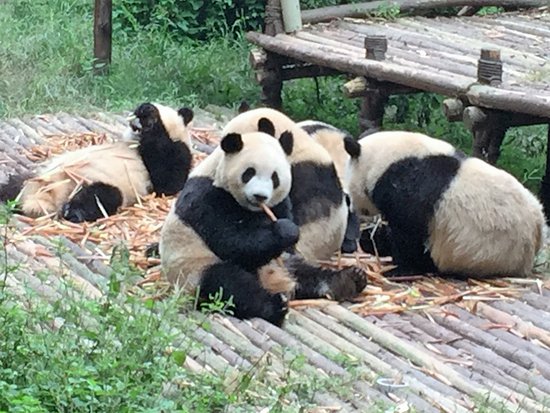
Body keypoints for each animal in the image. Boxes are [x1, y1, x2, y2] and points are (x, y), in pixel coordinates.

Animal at [17, 102, 194, 222]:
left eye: (156, 111)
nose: (142, 109)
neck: (134, 143)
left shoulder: (175, 152)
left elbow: (167, 182)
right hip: (36, 177)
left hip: (94, 183)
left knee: (101, 196)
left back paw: (73, 211)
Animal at [160, 129, 366, 326]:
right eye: (249, 172)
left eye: (275, 177)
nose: (260, 196)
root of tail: (274, 281)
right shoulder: (206, 198)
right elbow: (233, 242)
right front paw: (285, 231)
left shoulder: (280, 202)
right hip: (194, 269)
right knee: (229, 285)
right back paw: (274, 307)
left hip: (283, 264)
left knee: (306, 272)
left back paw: (349, 280)